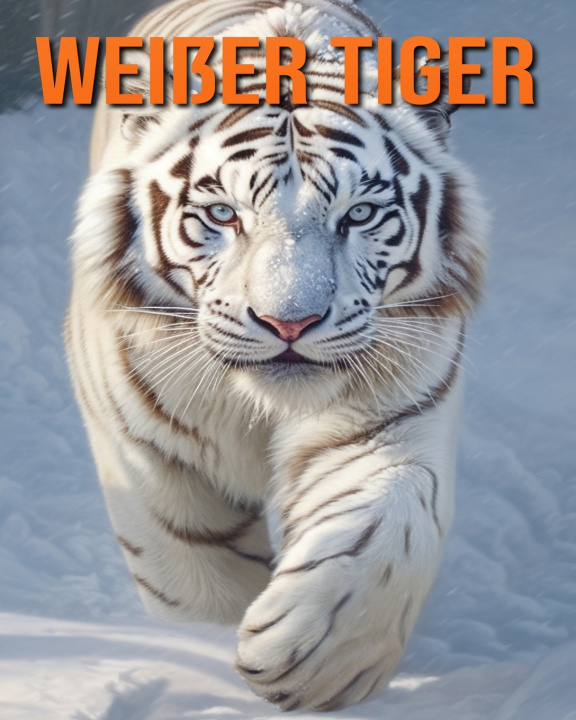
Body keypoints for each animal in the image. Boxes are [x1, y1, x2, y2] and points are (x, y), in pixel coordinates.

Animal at [64, 0, 488, 711]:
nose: (290, 322)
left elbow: (389, 520)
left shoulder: (391, 415)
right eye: (221, 214)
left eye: (360, 214)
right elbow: (196, 582)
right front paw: (209, 663)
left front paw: (318, 661)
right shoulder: (144, 452)